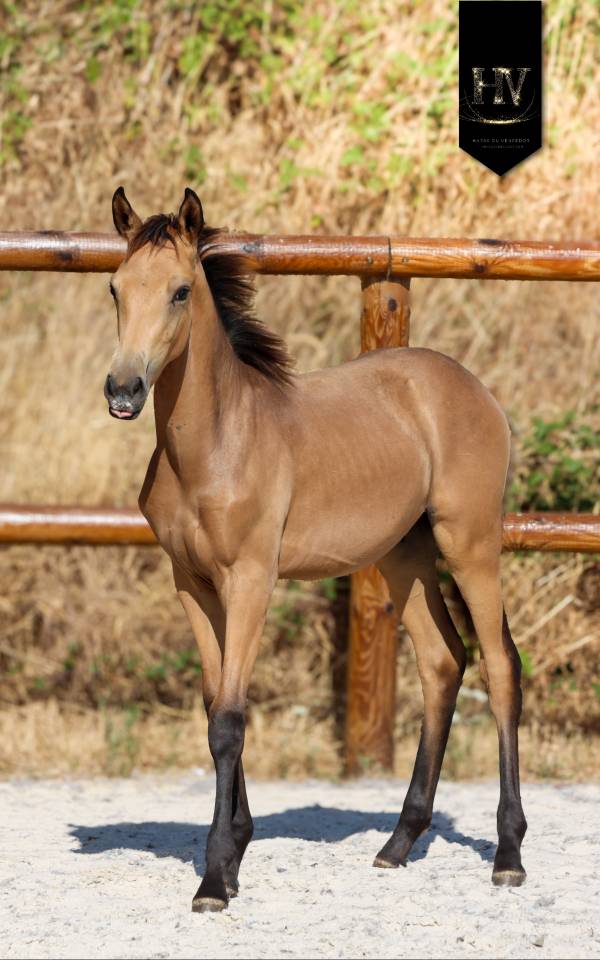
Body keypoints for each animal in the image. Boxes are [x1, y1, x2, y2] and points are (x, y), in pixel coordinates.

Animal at [105, 186, 527, 912]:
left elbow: (229, 721)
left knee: (500, 667)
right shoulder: (191, 583)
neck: (217, 445)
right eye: (115, 289)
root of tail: (476, 390)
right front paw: (234, 854)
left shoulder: (251, 579)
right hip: (404, 556)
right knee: (443, 662)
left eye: (181, 291)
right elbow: (214, 706)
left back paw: (508, 854)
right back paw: (398, 843)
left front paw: (215, 878)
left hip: (470, 544)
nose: (123, 391)